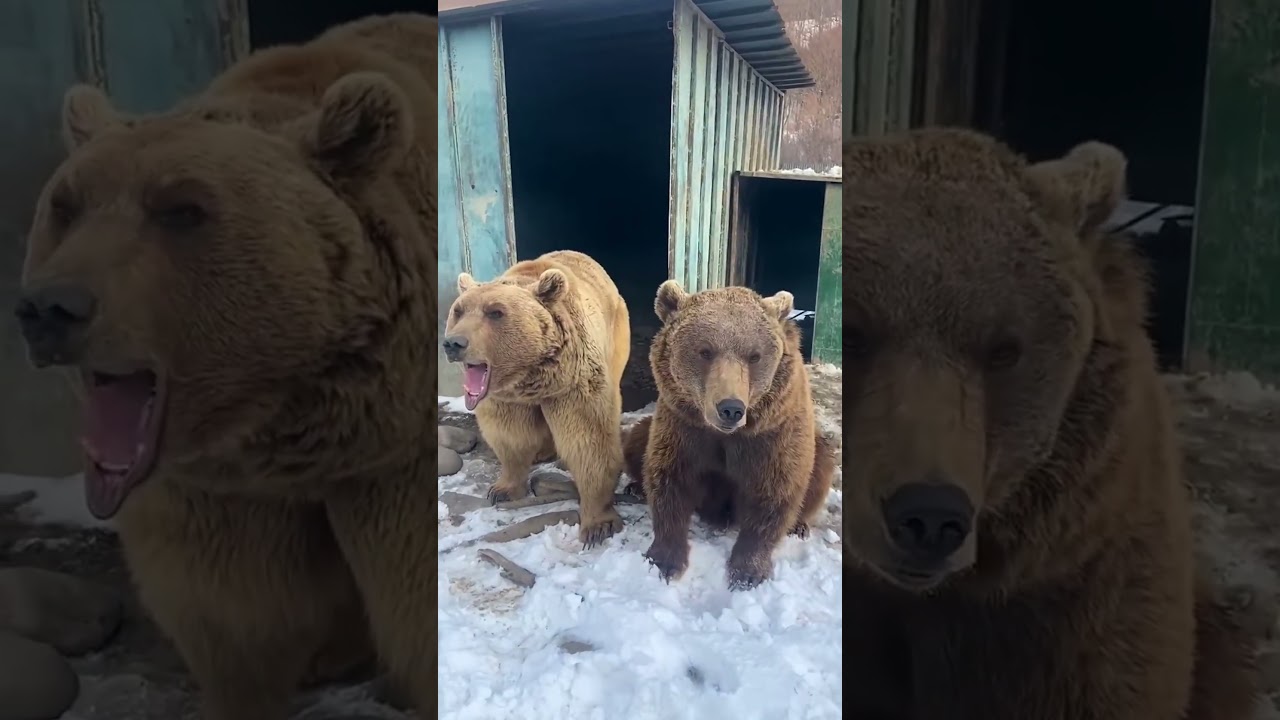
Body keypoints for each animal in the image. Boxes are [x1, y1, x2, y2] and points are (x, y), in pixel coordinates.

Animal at [16, 14, 439, 720]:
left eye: (181, 208)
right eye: (65, 206)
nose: (51, 308)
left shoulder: (397, 459)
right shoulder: (217, 488)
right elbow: (236, 622)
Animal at [442, 249, 630, 548]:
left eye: (495, 312)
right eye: (458, 311)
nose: (454, 343)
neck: (529, 374)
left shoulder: (574, 383)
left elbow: (588, 441)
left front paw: (598, 525)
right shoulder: (506, 398)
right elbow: (511, 437)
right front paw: (502, 489)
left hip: (616, 337)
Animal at [623, 282, 834, 590]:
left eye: (754, 355)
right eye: (705, 351)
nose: (731, 408)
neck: (729, 434)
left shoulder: (772, 433)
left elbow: (775, 490)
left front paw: (747, 571)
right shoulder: (684, 427)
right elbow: (670, 479)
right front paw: (664, 559)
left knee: (821, 467)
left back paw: (799, 524)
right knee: (635, 440)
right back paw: (634, 487)